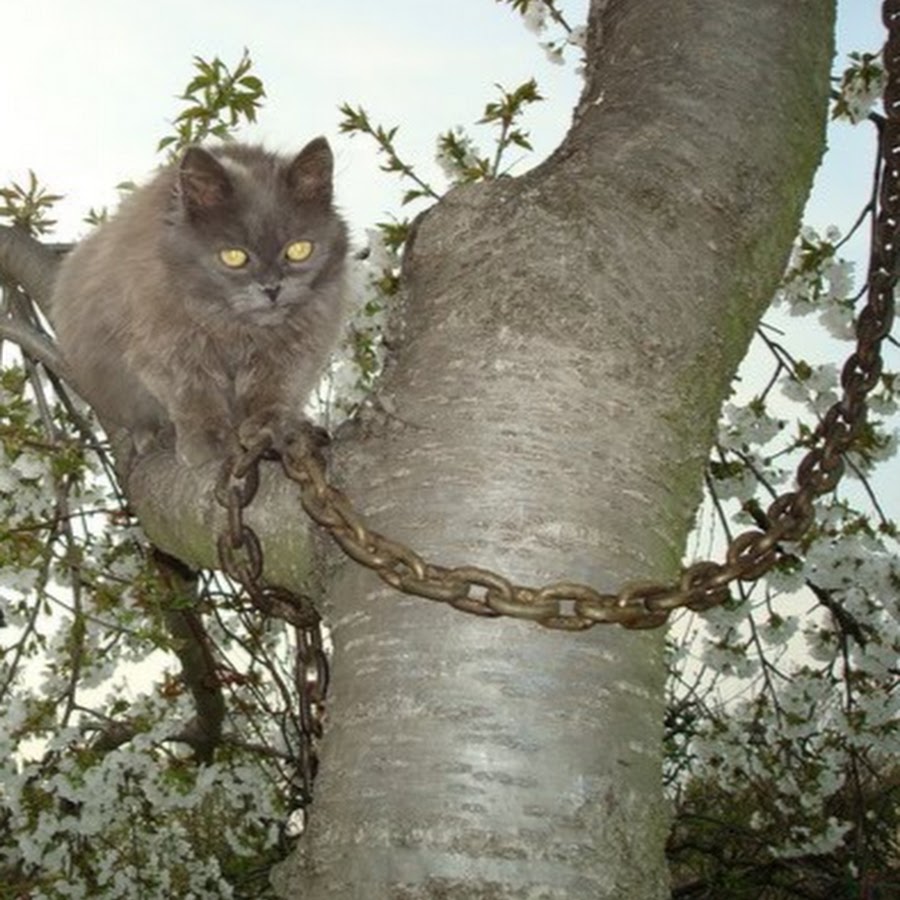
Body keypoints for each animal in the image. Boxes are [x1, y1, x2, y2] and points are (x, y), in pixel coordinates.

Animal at [50, 139, 348, 472]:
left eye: (299, 250)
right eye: (234, 256)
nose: (272, 288)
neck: (234, 327)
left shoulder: (299, 344)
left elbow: (273, 388)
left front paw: (268, 425)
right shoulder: (164, 345)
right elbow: (193, 393)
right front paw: (208, 440)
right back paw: (152, 436)